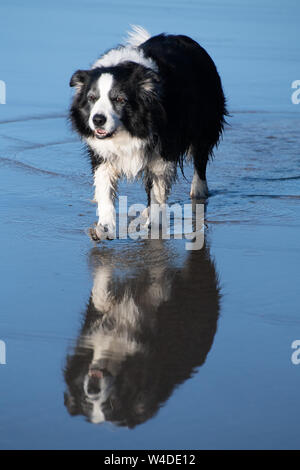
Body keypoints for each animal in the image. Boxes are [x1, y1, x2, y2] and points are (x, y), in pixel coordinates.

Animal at [69, 25, 226, 239]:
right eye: (92, 98)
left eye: (119, 99)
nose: (98, 120)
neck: (129, 129)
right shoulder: (102, 152)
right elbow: (105, 185)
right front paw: (104, 227)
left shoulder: (163, 149)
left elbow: (158, 188)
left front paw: (155, 224)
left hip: (206, 120)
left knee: (200, 159)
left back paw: (198, 191)